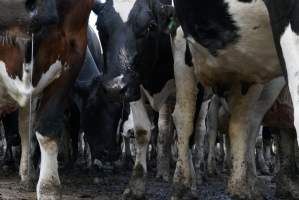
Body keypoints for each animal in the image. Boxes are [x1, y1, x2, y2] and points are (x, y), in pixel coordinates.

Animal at [91, 0, 176, 198]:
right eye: (99, 27)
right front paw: (136, 186)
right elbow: (143, 133)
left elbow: (174, 131)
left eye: (150, 26)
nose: (114, 88)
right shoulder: (134, 88)